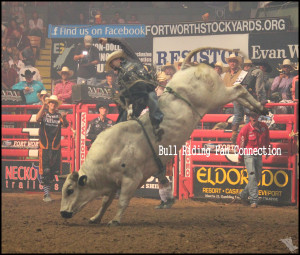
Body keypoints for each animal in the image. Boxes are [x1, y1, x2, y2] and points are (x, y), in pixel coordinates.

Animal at [59, 47, 266, 225]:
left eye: (70, 190)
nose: (62, 213)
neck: (111, 153)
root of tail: (186, 68)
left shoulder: (131, 178)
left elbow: (122, 201)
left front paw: (115, 220)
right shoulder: (114, 183)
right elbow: (105, 201)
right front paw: (96, 217)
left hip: (217, 96)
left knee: (239, 90)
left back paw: (260, 106)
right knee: (240, 94)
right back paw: (258, 109)